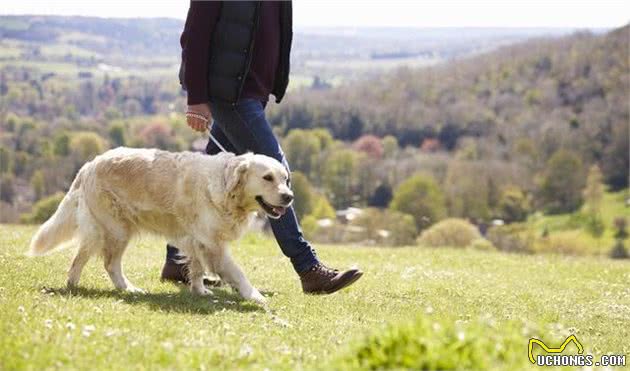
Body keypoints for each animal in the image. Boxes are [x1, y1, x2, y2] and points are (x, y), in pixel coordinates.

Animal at [27, 147, 296, 304]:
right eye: (267, 177)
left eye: (285, 179)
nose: (289, 197)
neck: (225, 186)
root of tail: (89, 165)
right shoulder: (213, 244)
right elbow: (238, 273)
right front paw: (255, 296)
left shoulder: (198, 240)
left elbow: (197, 269)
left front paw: (199, 291)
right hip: (114, 229)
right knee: (100, 262)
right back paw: (108, 288)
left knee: (92, 259)